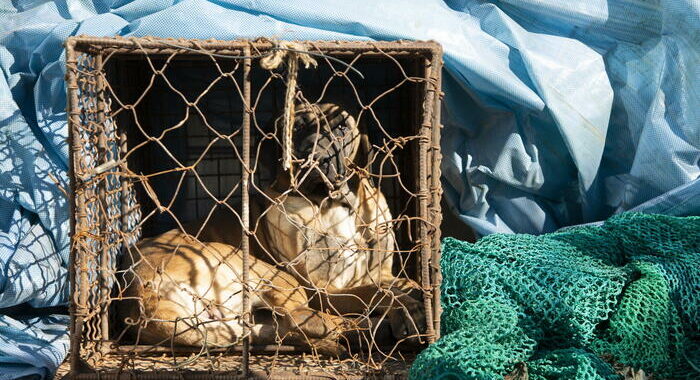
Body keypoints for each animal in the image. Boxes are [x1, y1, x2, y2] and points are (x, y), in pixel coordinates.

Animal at [119, 102, 426, 354]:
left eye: (341, 127)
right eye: (296, 128)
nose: (316, 153)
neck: (334, 205)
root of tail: (143, 295)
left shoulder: (381, 272)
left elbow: (402, 283)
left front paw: (416, 294)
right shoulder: (322, 290)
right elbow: (376, 293)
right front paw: (407, 307)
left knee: (291, 327)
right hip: (263, 273)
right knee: (301, 318)